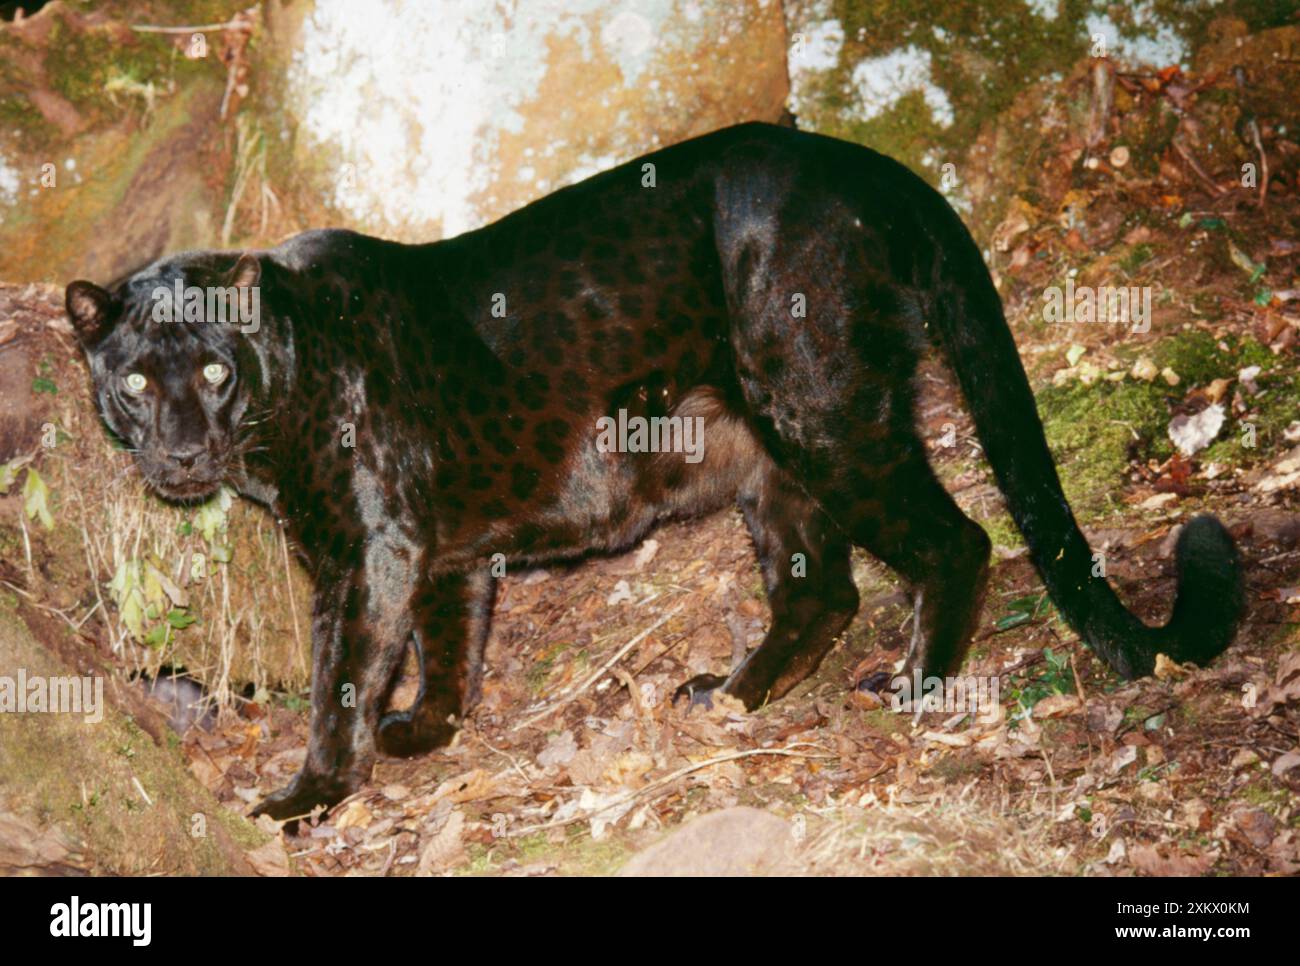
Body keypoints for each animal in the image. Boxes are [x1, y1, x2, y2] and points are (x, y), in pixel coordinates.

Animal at [65, 118, 1242, 816]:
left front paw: (306, 796)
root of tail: (867, 161)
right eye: (136, 382)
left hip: (822, 415)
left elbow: (341, 676)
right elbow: (449, 650)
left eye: (212, 370)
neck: (286, 379)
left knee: (955, 540)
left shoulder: (370, 553)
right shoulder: (445, 553)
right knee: (822, 590)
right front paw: (429, 733)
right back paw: (732, 697)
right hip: (776, 462)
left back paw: (912, 686)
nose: (179, 447)